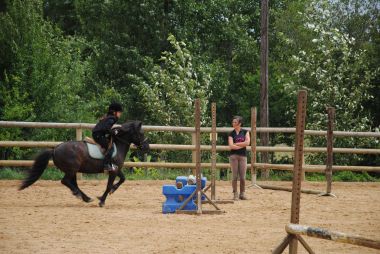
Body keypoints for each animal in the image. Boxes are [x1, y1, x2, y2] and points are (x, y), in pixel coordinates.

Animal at [19, 120, 150, 206]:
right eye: (141, 133)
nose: (146, 147)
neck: (118, 145)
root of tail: (55, 149)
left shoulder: (116, 169)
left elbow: (122, 179)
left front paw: (112, 190)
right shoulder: (113, 171)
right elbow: (109, 185)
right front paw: (102, 200)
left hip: (73, 171)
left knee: (72, 183)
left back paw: (85, 198)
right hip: (72, 169)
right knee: (65, 181)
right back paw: (81, 195)